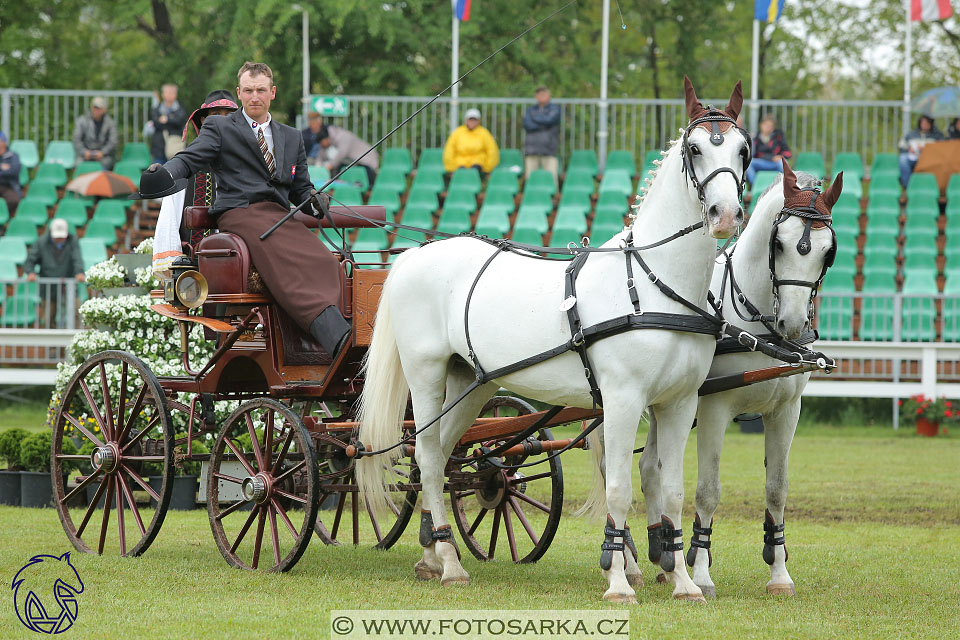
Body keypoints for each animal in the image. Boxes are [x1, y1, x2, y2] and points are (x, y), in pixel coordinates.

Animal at [358, 77, 752, 604]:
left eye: (744, 150)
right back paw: (448, 563)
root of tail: (413, 256)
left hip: (471, 383)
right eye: (695, 149)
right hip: (425, 377)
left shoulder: (679, 403)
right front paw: (618, 582)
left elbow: (672, 491)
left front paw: (685, 584)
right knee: (424, 453)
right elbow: (619, 489)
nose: (724, 214)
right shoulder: (623, 400)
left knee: (439, 457)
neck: (654, 283)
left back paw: (434, 555)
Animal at [640, 159, 844, 596]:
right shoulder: (714, 410)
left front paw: (779, 573)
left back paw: (662, 558)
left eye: (828, 252)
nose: (793, 325)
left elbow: (777, 490)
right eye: (778, 244)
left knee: (650, 469)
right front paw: (701, 573)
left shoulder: (786, 411)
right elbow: (708, 491)